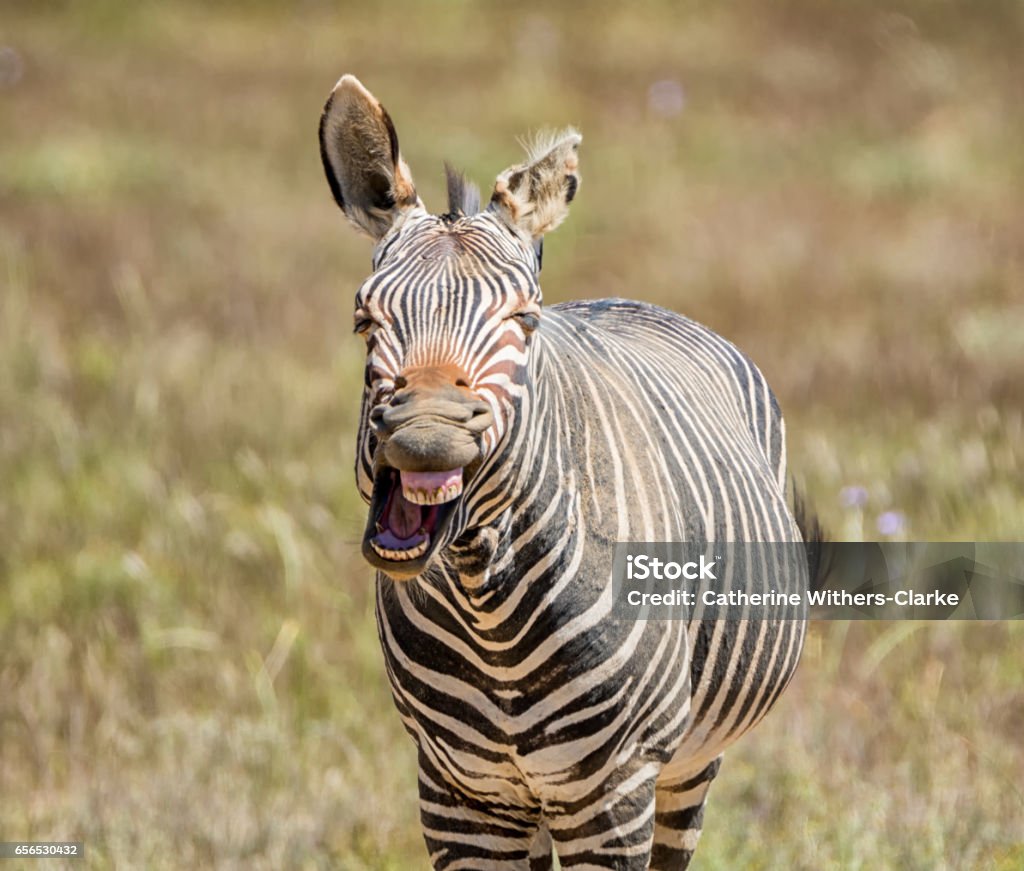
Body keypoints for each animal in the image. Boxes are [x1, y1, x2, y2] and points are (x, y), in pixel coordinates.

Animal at [317, 74, 815, 871]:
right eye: (365, 322)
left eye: (524, 322)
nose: (427, 435)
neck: (487, 606)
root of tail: (629, 300)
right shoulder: (457, 793)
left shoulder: (615, 789)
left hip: (685, 762)